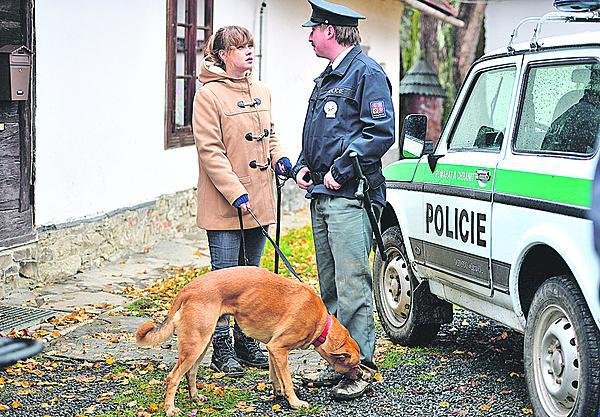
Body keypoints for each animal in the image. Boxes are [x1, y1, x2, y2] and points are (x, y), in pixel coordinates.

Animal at [135, 264, 360, 414]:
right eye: (355, 364)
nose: (361, 376)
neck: (322, 324)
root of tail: (188, 288)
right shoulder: (279, 349)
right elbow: (287, 381)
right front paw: (294, 402)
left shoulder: (272, 349)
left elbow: (275, 376)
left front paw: (277, 393)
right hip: (195, 344)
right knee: (173, 377)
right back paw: (170, 409)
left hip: (201, 343)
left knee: (190, 373)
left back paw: (195, 397)